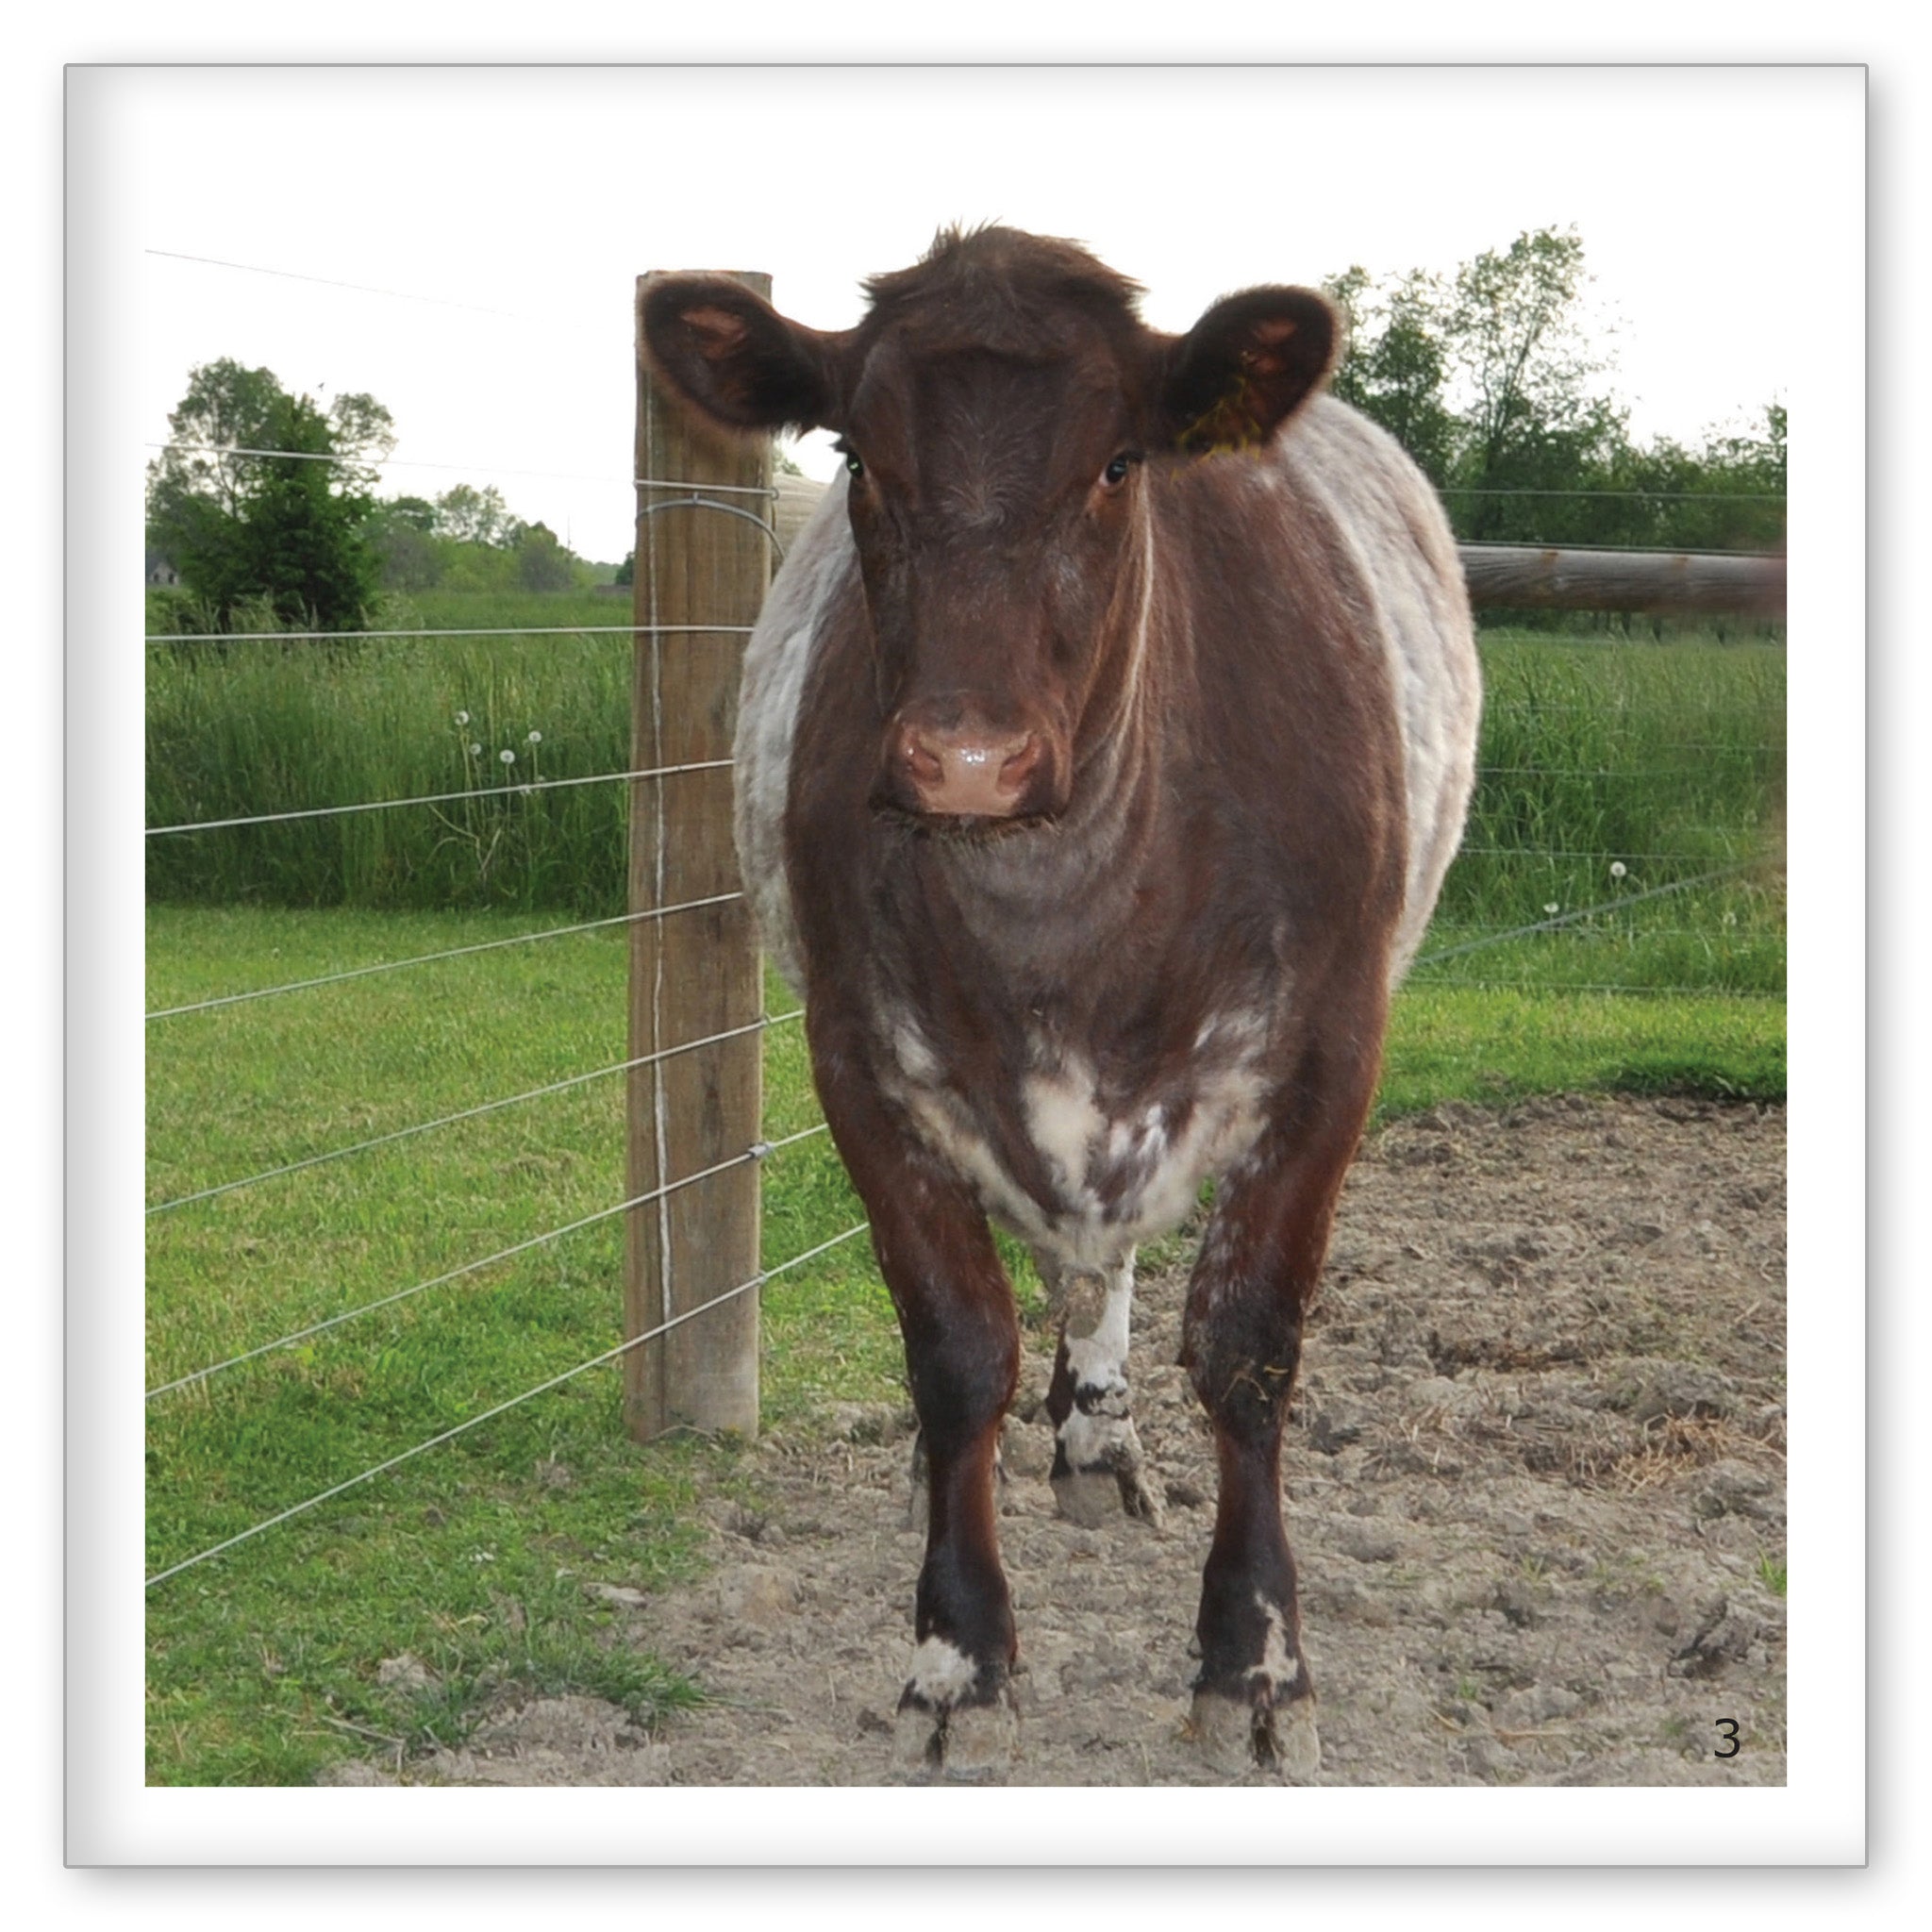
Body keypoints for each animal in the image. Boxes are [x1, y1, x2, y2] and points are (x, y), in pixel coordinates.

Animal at [640, 226, 1481, 1781]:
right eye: (856, 456)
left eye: (1119, 462)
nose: (967, 758)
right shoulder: (858, 1062)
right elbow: (956, 1351)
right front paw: (956, 1653)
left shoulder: (1331, 1060)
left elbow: (1250, 1346)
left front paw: (1255, 1659)